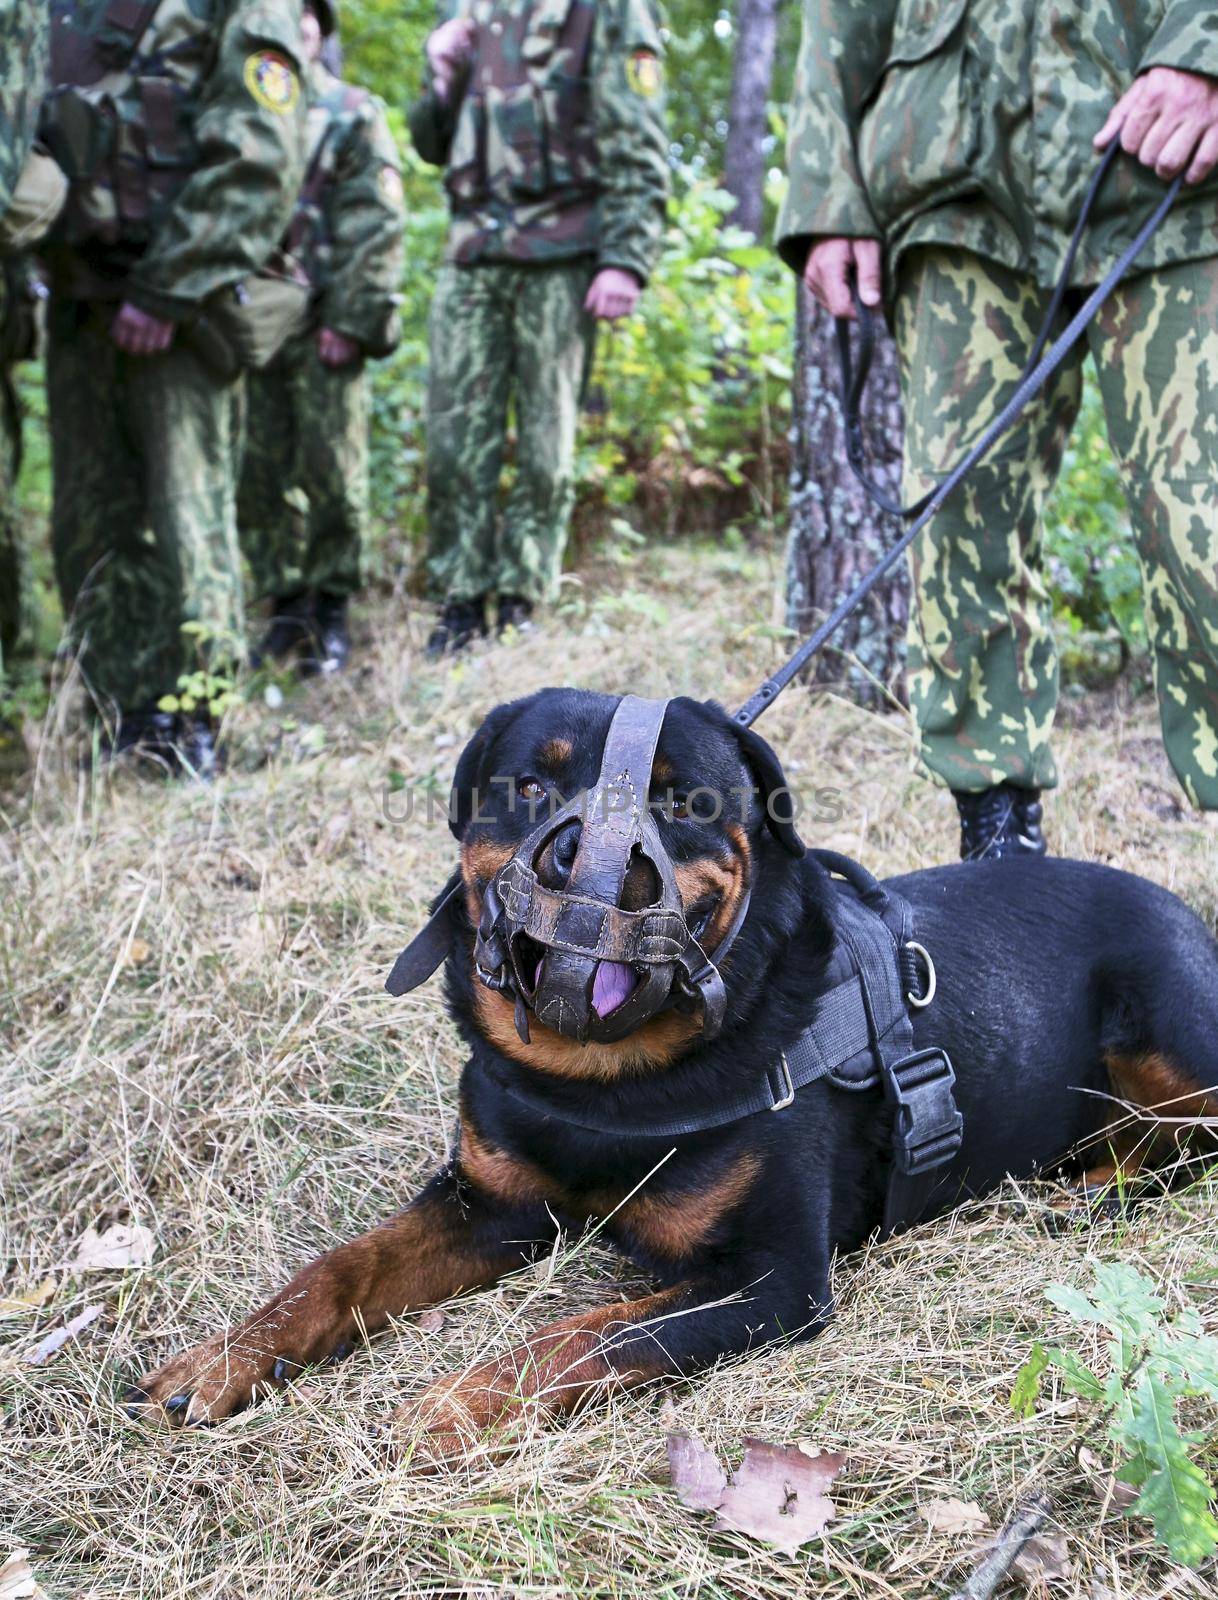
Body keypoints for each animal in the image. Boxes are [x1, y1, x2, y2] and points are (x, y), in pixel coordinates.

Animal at [128, 684, 1216, 1440]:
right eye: (530, 786)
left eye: (683, 799)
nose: (592, 862)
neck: (600, 1083)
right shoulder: (488, 1203)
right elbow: (338, 1268)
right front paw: (222, 1359)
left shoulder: (773, 1281)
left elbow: (589, 1331)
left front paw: (455, 1405)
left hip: (1162, 1018)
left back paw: (1097, 1189)